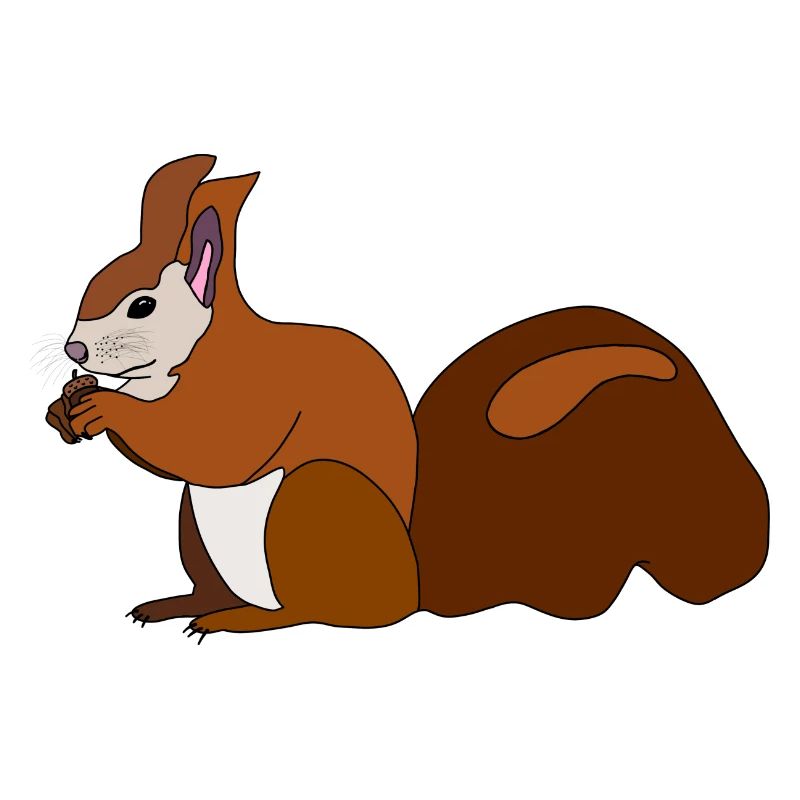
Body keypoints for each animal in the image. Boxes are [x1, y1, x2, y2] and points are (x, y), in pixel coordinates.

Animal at [46, 155, 769, 641]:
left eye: (141, 305)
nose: (74, 350)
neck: (178, 366)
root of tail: (413, 592)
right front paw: (65, 408)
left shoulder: (260, 390)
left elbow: (218, 447)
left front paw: (105, 409)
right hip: (195, 531)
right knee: (218, 585)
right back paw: (185, 603)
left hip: (317, 500)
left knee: (320, 614)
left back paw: (243, 620)